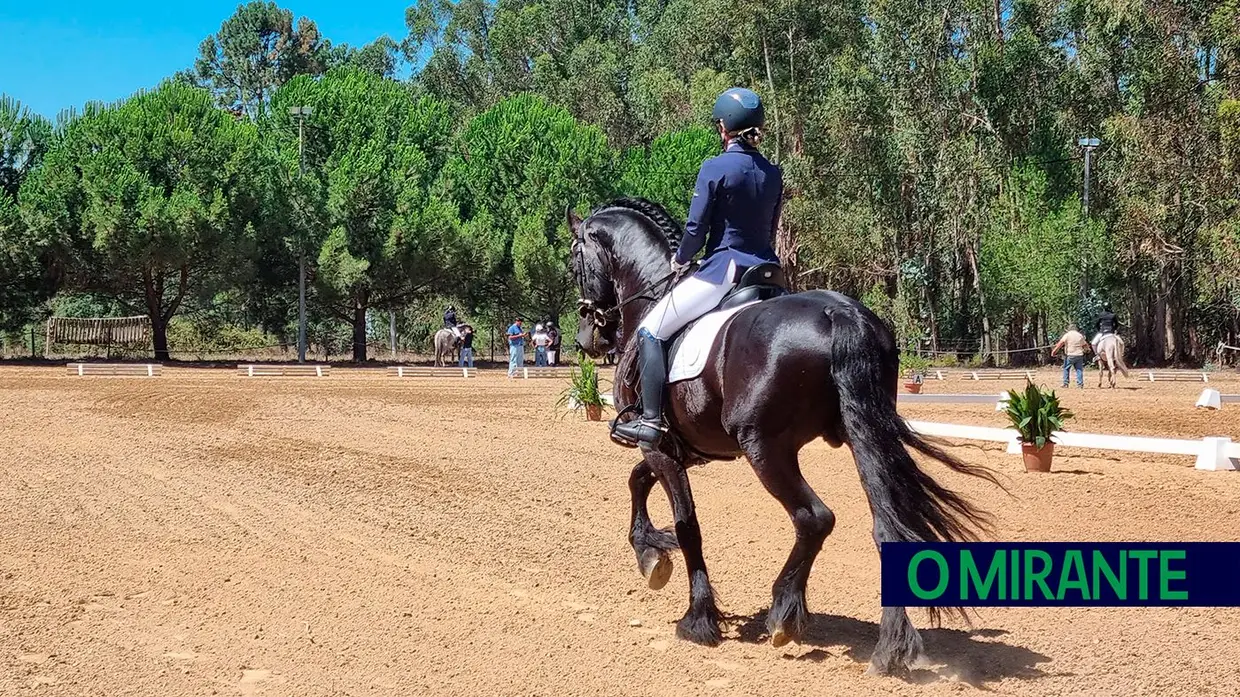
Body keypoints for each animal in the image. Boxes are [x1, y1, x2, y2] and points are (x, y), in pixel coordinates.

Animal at [567, 197, 1001, 674]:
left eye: (573, 261)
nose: (585, 338)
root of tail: (839, 312)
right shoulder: (680, 448)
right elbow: (637, 481)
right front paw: (651, 556)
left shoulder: (655, 442)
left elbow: (686, 523)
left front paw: (697, 618)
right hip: (861, 436)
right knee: (887, 525)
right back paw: (890, 649)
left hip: (766, 447)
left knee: (814, 518)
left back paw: (784, 614)